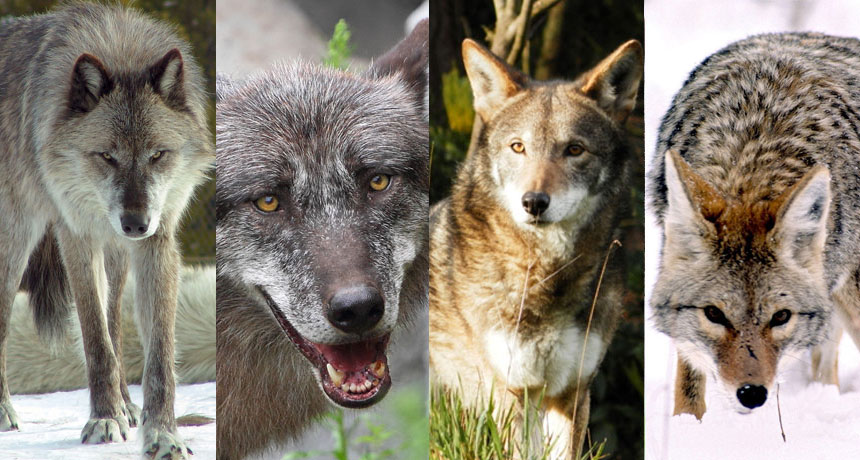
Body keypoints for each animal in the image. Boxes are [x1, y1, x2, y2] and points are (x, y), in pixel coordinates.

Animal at [0, 2, 213, 458]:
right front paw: (103, 420)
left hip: (116, 259)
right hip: (14, 248)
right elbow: (96, 342)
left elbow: (156, 355)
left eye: (157, 155)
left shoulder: (158, 242)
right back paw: (5, 410)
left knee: (115, 317)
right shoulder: (76, 237)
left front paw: (162, 433)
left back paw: (128, 406)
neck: (120, 50)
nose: (135, 223)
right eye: (107, 156)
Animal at [430, 38, 642, 460]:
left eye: (575, 150)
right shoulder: (511, 395)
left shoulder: (573, 392)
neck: (548, 274)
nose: (534, 202)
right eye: (518, 147)